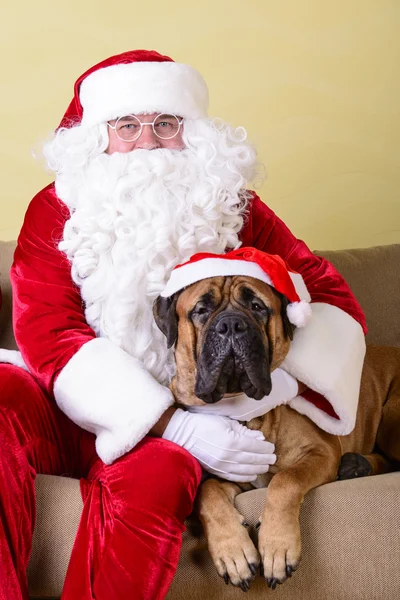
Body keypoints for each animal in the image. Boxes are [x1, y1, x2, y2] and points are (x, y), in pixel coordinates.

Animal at [153, 276, 400, 592]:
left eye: (257, 306)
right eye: (200, 310)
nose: (231, 325)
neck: (244, 410)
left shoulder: (322, 451)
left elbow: (286, 479)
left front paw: (277, 546)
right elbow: (206, 495)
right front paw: (232, 551)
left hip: (393, 418)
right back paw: (356, 466)